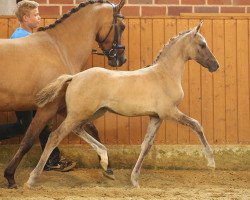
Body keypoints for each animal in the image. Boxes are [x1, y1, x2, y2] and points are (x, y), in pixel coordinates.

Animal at [26, 21, 219, 188]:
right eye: (202, 44)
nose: (215, 65)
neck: (164, 75)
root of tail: (74, 77)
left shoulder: (156, 117)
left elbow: (146, 145)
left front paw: (134, 180)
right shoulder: (170, 112)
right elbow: (197, 125)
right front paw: (211, 162)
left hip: (93, 112)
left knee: (78, 129)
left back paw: (105, 162)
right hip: (78, 114)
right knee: (55, 136)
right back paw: (32, 179)